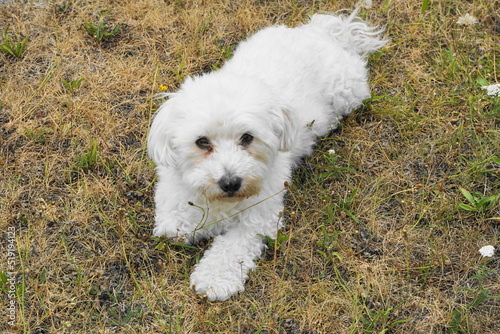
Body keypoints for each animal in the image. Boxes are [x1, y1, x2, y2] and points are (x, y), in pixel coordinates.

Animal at [146, 11, 384, 302]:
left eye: (247, 138)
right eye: (202, 142)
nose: (230, 183)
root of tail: (322, 31)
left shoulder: (260, 217)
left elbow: (233, 248)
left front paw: (215, 278)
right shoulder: (173, 201)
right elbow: (174, 225)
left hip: (347, 92)